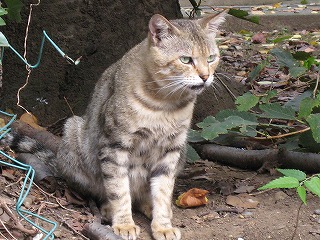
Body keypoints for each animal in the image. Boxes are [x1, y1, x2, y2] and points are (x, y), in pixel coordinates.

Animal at [2, 11, 228, 240]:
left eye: (211, 58)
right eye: (185, 59)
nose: (205, 76)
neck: (166, 104)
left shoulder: (171, 150)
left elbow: (163, 192)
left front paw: (162, 225)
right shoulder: (114, 146)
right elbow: (118, 190)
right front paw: (124, 223)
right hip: (74, 136)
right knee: (101, 191)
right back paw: (109, 209)